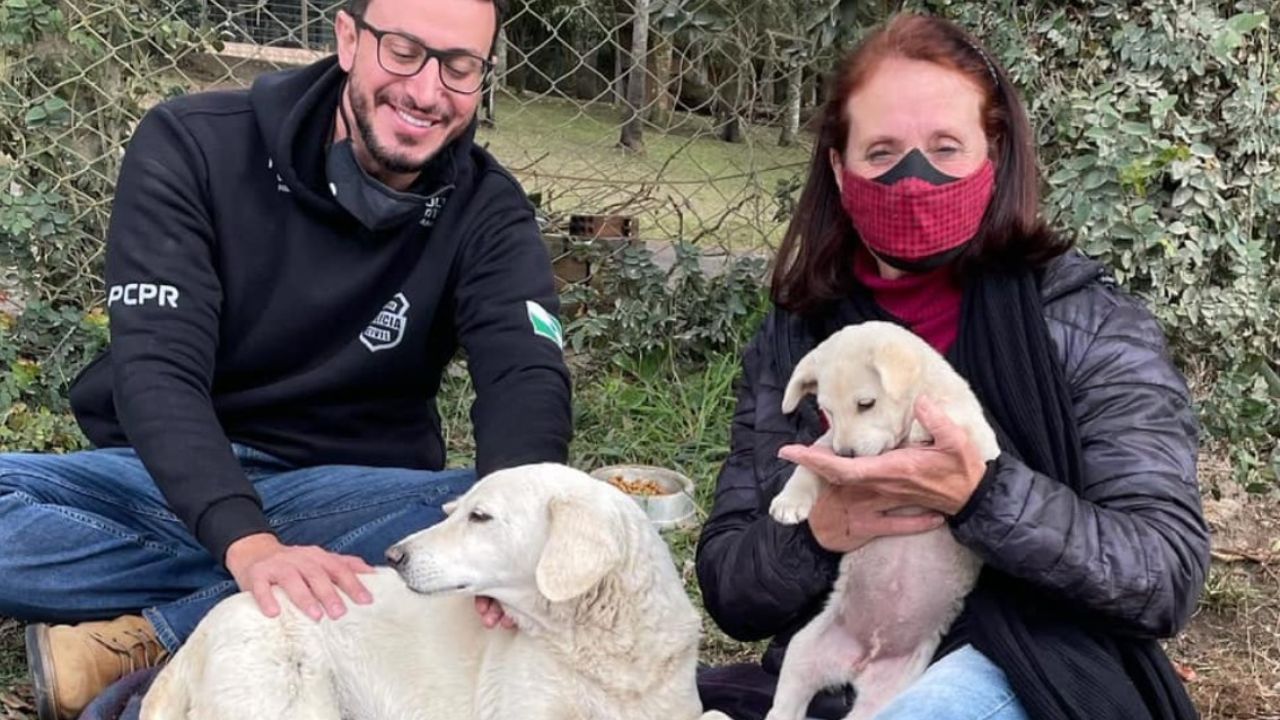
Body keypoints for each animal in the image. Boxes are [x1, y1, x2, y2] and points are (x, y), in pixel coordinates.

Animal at [757, 320, 998, 717]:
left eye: (865, 404)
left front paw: (923, 427)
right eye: (827, 411)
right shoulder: (827, 444)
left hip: (890, 691)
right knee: (786, 703)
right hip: (803, 652)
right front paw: (789, 502)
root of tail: (862, 660)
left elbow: (955, 419)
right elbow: (810, 464)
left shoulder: (978, 444)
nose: (847, 455)